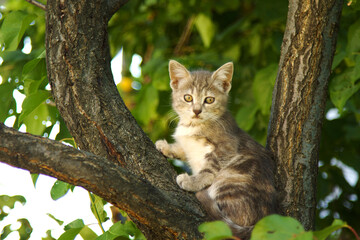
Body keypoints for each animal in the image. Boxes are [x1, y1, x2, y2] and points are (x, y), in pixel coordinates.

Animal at [156, 60, 278, 240]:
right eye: (188, 98)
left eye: (209, 100)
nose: (197, 110)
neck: (194, 126)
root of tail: (258, 224)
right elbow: (184, 148)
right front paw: (166, 147)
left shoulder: (227, 145)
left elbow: (210, 167)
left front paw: (193, 181)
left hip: (230, 179)